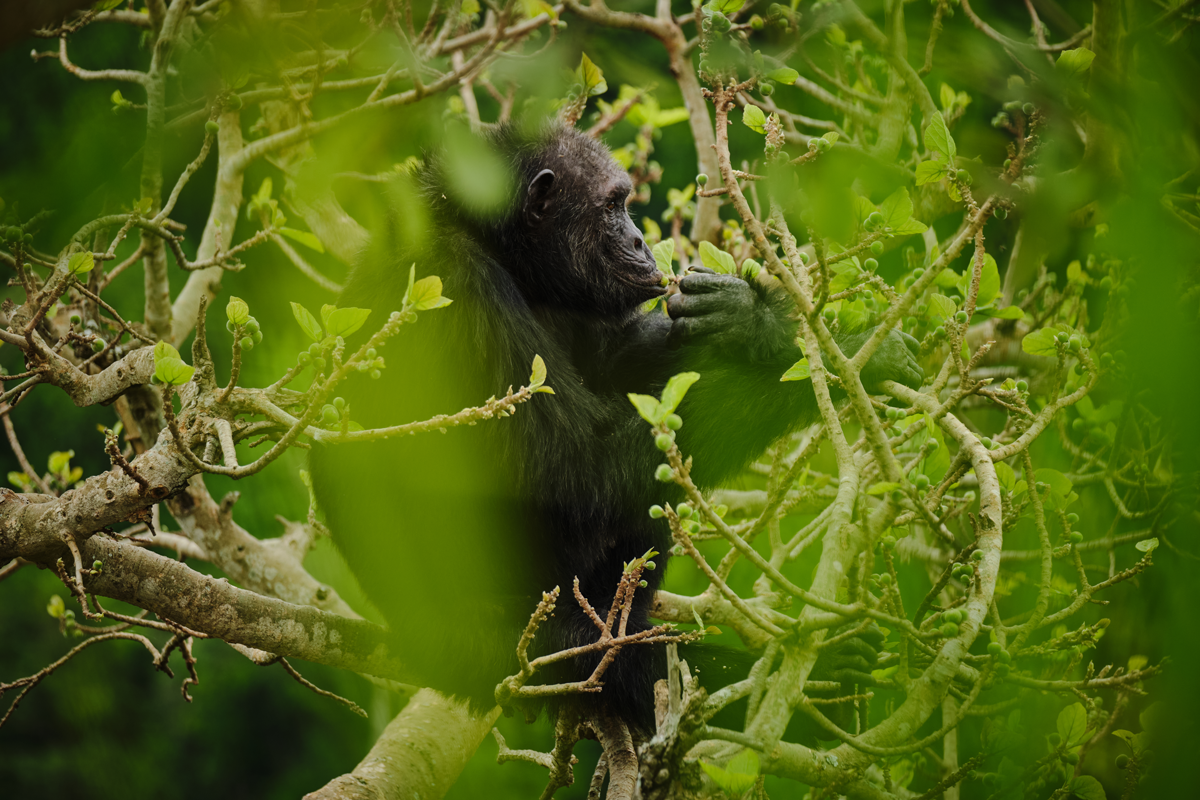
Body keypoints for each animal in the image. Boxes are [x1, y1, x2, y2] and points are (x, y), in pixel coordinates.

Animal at [307, 120, 916, 734]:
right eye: (612, 206)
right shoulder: (458, 293)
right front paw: (850, 353)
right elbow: (576, 472)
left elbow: (619, 365)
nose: (642, 240)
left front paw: (754, 318)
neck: (499, 248)